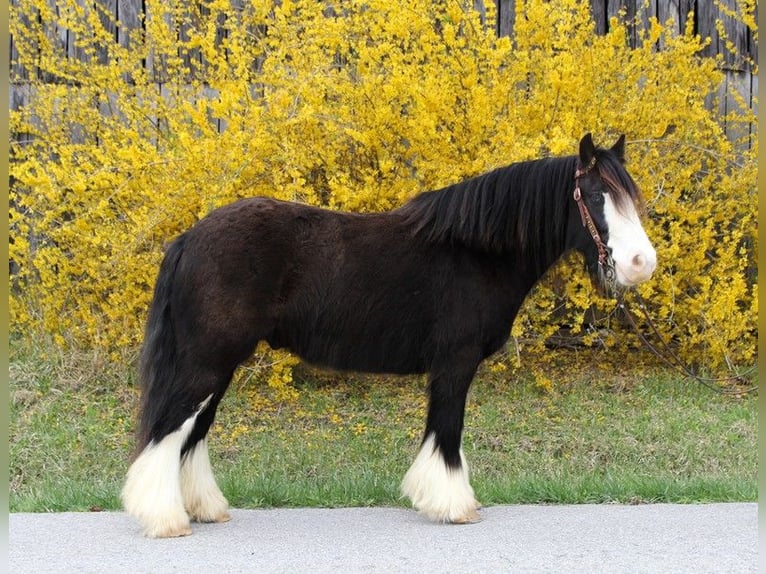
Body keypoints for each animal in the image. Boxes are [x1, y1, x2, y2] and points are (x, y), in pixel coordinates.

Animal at [123, 135, 656, 540]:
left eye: (630, 197)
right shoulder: (455, 361)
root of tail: (188, 239)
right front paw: (453, 505)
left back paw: (203, 509)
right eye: (594, 196)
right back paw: (165, 520)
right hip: (207, 361)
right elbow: (447, 431)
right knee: (169, 431)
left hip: (218, 364)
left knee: (192, 433)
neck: (477, 251)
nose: (640, 264)